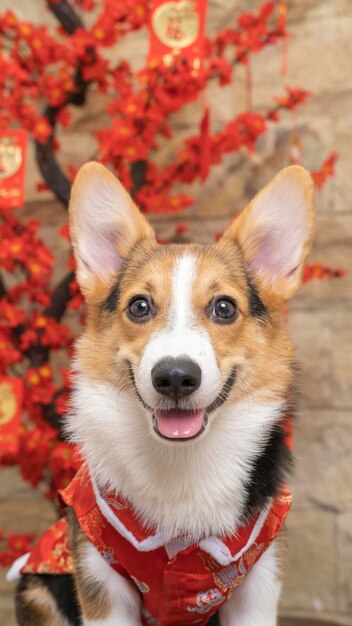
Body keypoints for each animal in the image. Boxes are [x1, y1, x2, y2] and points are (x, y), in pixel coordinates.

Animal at [15, 162, 314, 624]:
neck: (181, 462)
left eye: (224, 308)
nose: (174, 377)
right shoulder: (102, 581)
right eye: (139, 306)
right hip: (39, 590)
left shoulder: (258, 582)